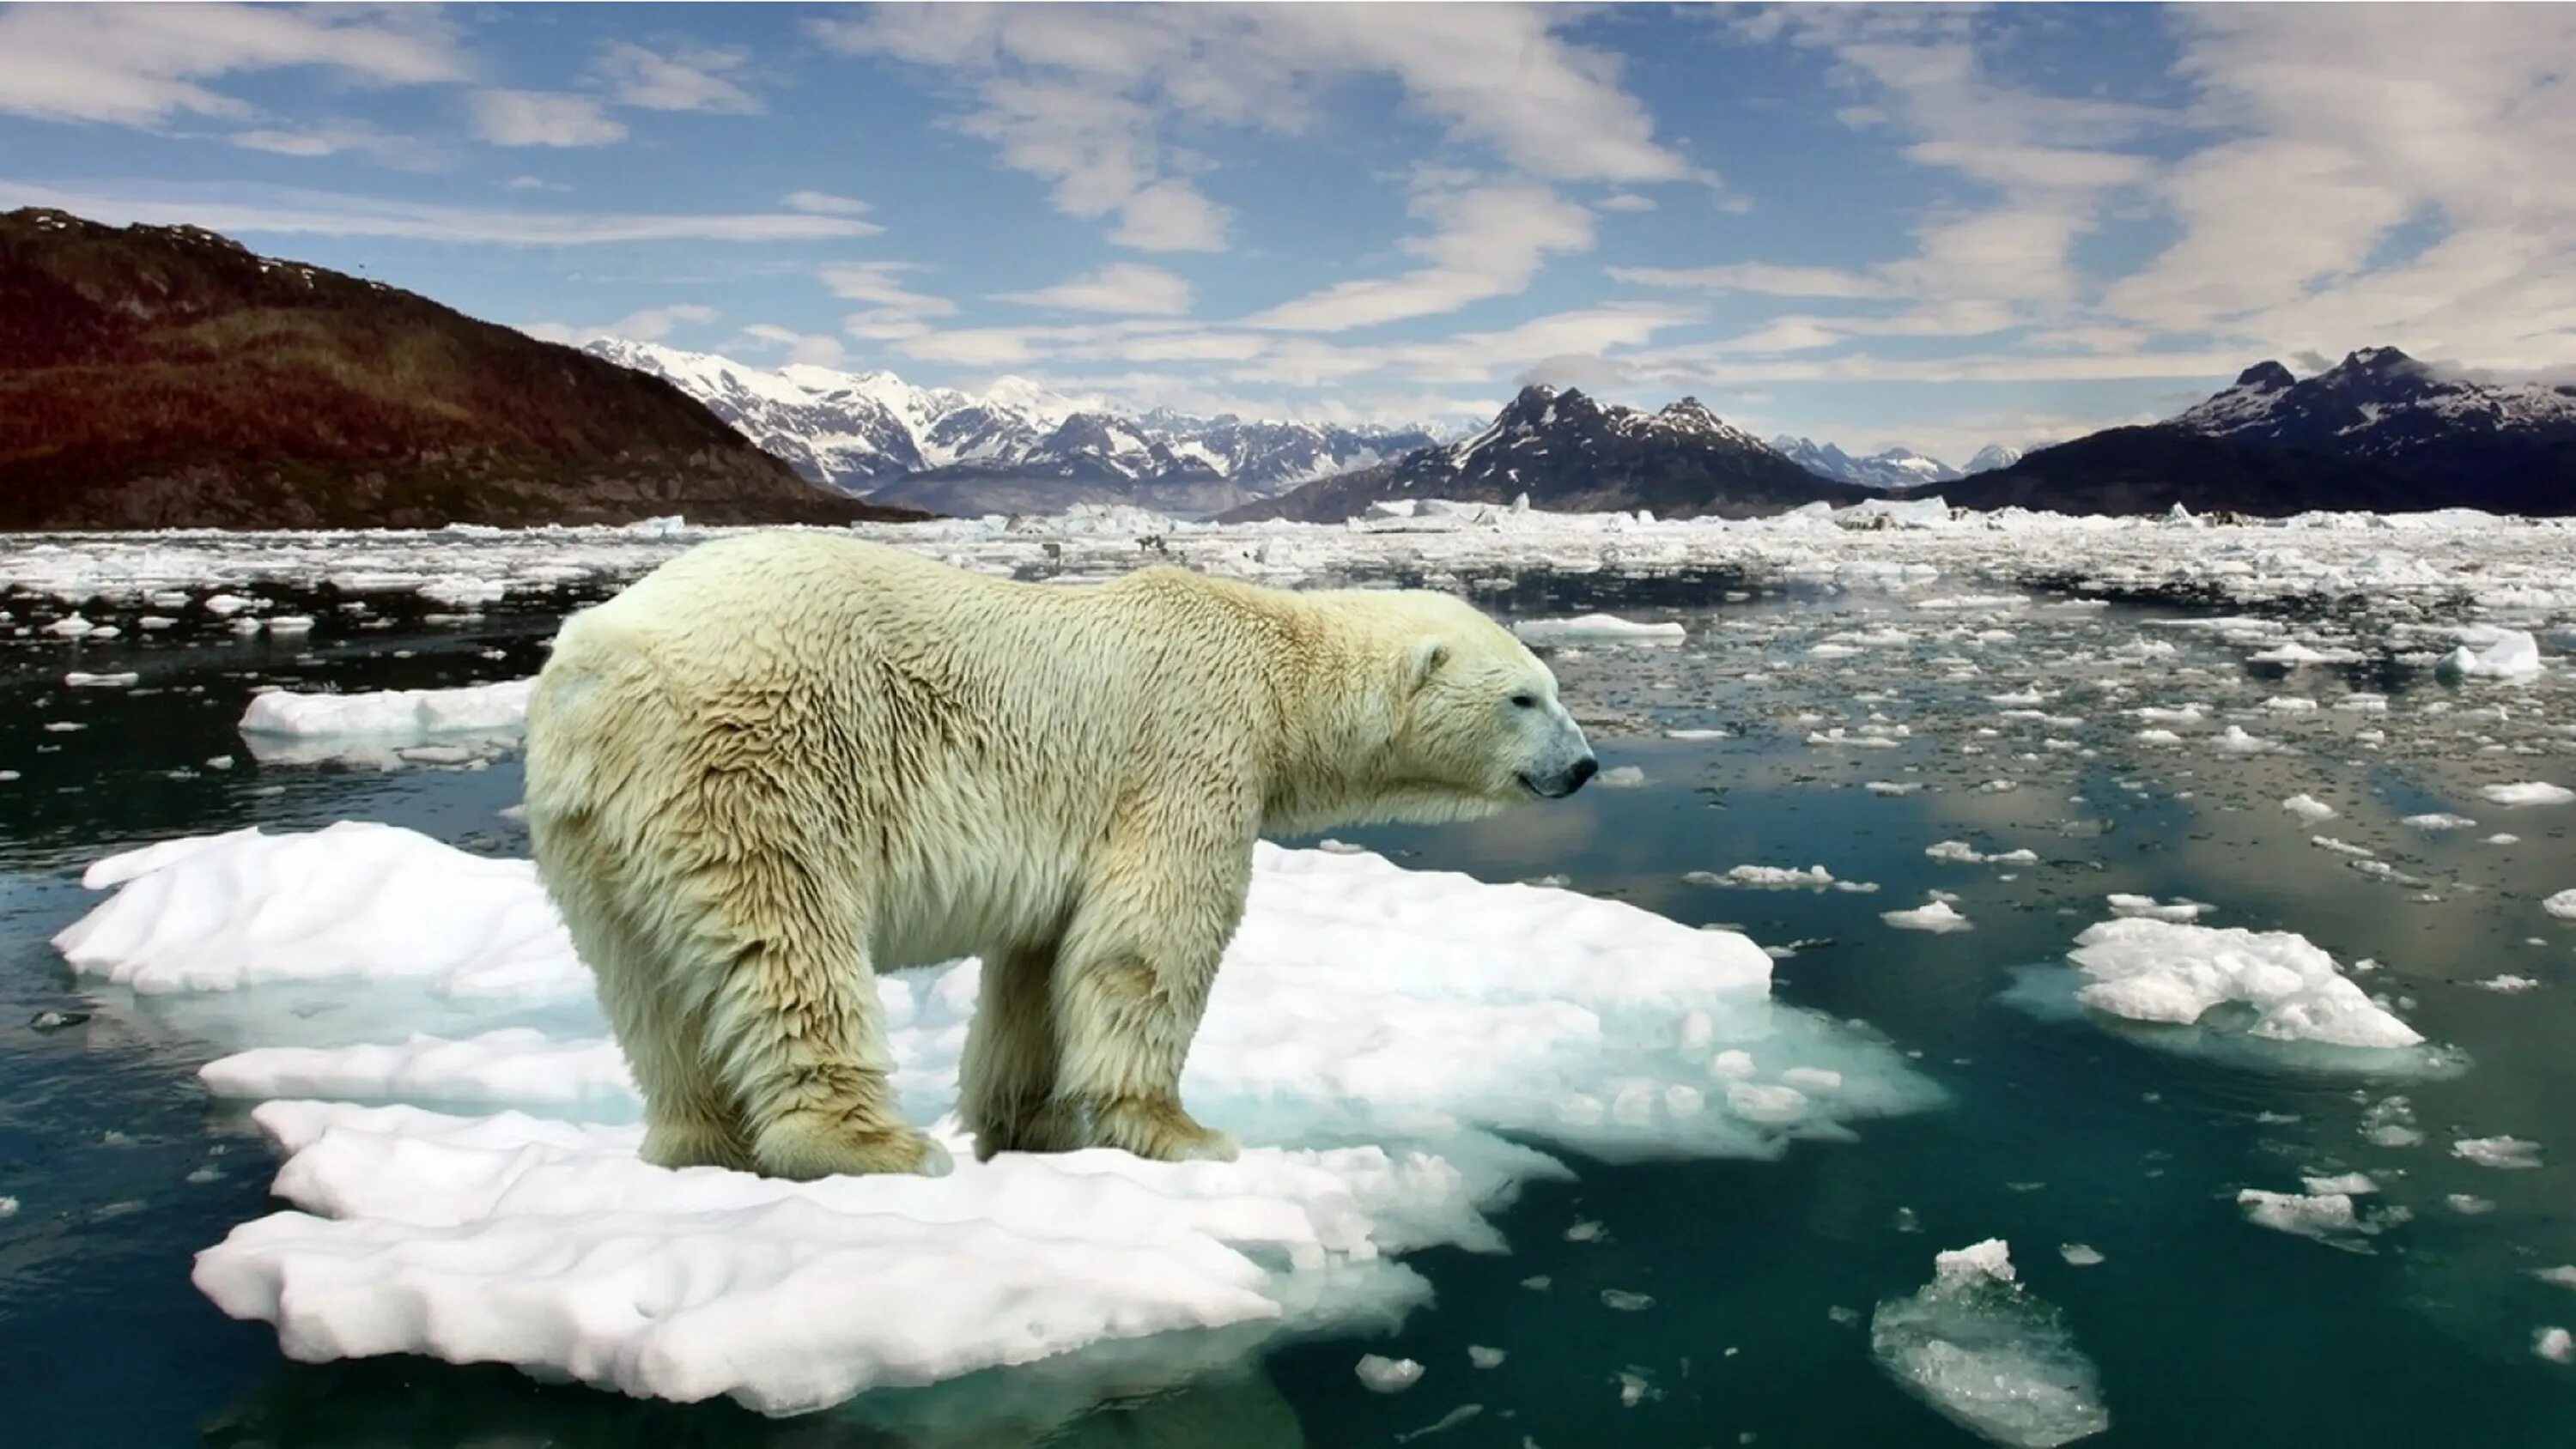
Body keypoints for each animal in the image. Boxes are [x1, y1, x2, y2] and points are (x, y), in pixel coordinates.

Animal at [520, 532, 1587, 1179]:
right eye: (1524, 696)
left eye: (1551, 685)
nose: (1582, 766)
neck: (1274, 662)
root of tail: (596, 667)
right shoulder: (1192, 743)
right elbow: (1151, 937)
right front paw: (1182, 1131)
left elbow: (1039, 966)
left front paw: (1030, 1125)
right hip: (757, 760)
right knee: (788, 942)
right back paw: (873, 1143)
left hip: (592, 832)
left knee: (648, 987)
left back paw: (700, 1143)